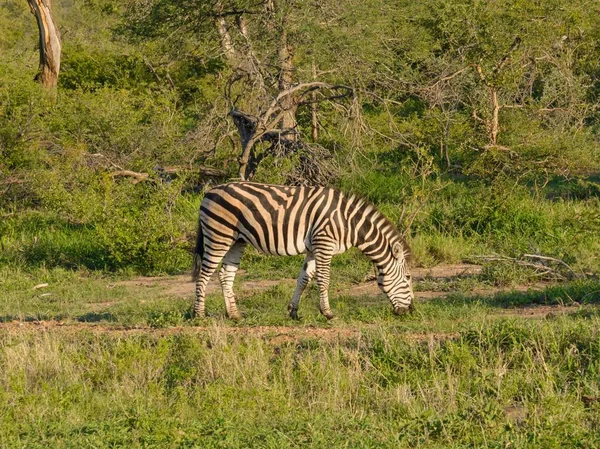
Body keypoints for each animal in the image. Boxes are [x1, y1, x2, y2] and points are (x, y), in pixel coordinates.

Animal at [192, 181, 412, 318]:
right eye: (409, 277)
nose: (411, 310)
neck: (349, 223)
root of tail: (209, 192)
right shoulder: (324, 244)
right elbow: (324, 279)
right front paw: (327, 313)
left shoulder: (314, 248)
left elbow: (304, 279)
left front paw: (293, 311)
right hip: (218, 235)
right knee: (204, 274)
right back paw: (199, 314)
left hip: (236, 240)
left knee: (225, 274)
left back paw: (234, 315)